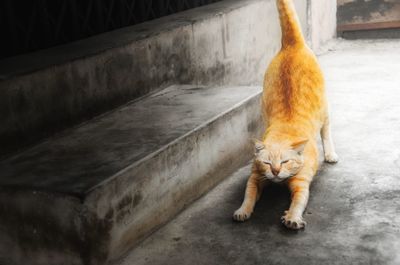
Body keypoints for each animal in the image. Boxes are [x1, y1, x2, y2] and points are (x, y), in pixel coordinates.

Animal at [233, 0, 340, 228]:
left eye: (284, 162)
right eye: (267, 163)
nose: (274, 172)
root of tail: (293, 44)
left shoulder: (302, 183)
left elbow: (298, 202)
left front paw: (292, 218)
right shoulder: (255, 177)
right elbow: (248, 195)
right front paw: (242, 210)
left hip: (324, 109)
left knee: (326, 131)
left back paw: (330, 153)